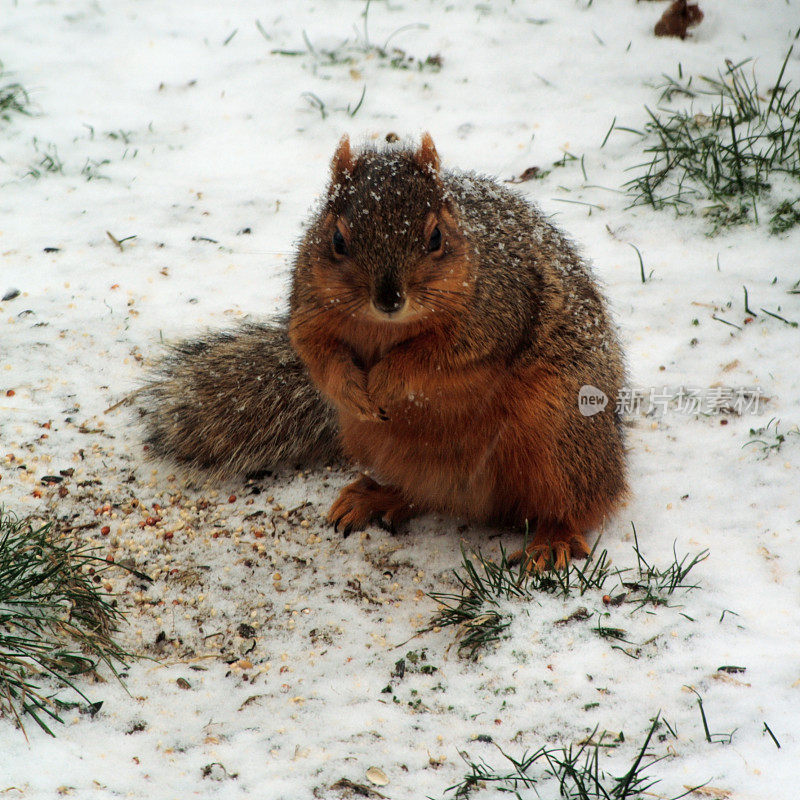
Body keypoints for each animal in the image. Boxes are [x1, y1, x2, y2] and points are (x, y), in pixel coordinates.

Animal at [141, 134, 628, 568]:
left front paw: (387, 379)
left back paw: (552, 539)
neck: (385, 328)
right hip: (386, 447)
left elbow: (433, 357)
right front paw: (353, 390)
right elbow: (317, 353)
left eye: (436, 237)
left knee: (578, 502)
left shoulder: (496, 313)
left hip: (561, 437)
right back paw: (377, 496)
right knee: (426, 495)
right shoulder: (310, 312)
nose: (389, 297)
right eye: (337, 239)